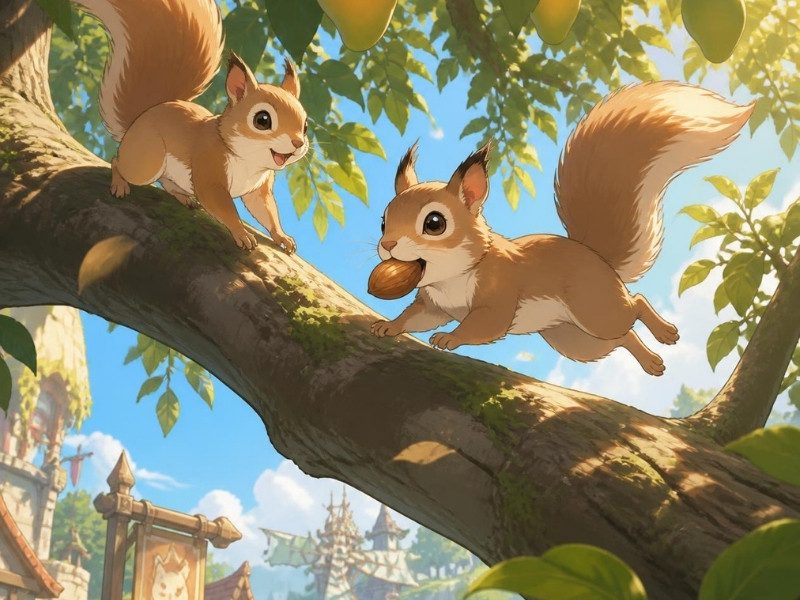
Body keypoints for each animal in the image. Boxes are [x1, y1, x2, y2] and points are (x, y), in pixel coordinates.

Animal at [72, 0, 308, 251]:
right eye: (262, 120)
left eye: (305, 126)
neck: (248, 161)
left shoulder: (258, 190)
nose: (298, 143)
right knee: (118, 163)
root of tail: (139, 120)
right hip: (146, 161)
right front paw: (241, 233)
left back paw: (184, 197)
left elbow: (266, 211)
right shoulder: (209, 168)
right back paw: (119, 184)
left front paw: (282, 236)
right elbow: (223, 207)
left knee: (166, 182)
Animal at [371, 81, 753, 375]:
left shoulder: (499, 292)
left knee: (636, 305)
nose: (387, 245)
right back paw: (652, 362)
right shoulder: (434, 306)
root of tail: (600, 260)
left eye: (434, 223)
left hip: (596, 309)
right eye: (383, 220)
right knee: (621, 337)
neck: (450, 277)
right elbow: (416, 316)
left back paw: (665, 332)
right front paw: (389, 325)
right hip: (574, 337)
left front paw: (451, 338)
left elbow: (484, 324)